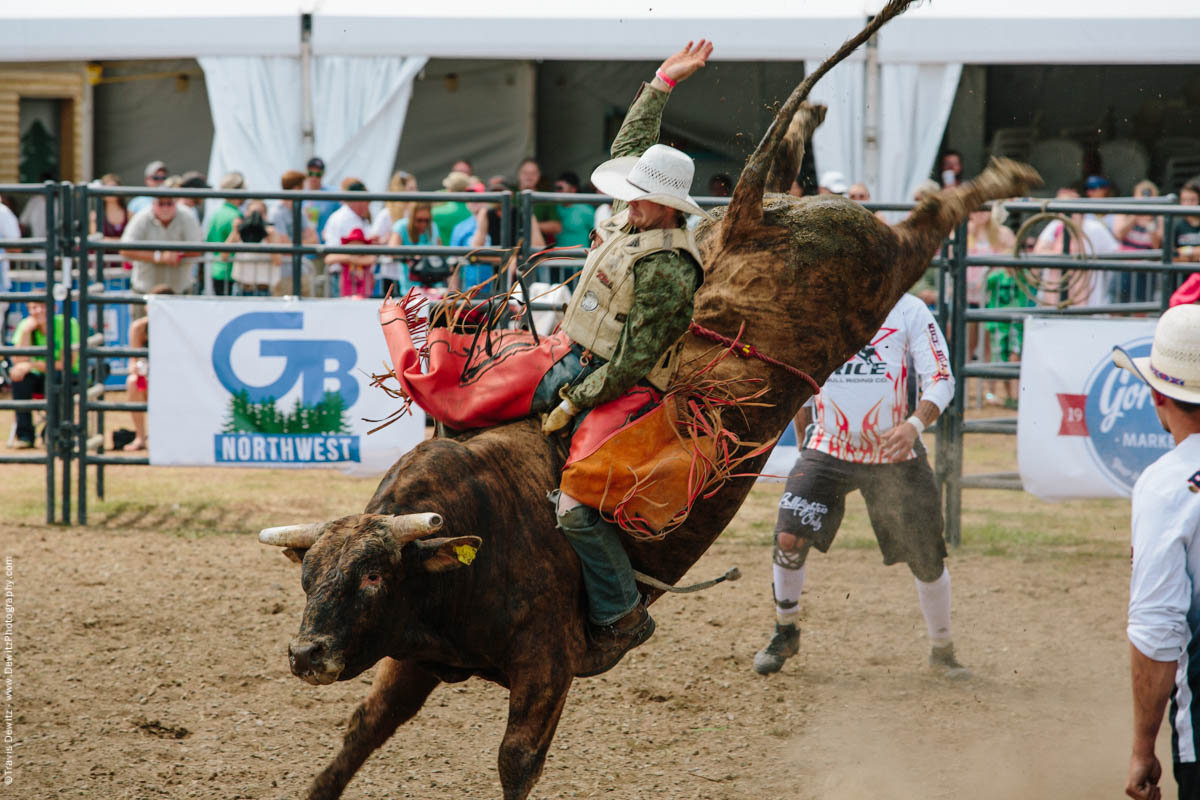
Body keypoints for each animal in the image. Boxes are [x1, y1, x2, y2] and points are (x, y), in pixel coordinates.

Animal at [258, 3, 1036, 796]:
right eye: (310, 575)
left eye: (374, 575)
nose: (306, 653)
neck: (480, 532)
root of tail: (751, 222)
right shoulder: (415, 659)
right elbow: (358, 735)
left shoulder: (546, 666)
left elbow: (516, 760)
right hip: (778, 227)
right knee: (787, 169)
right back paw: (813, 117)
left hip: (883, 267)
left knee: (932, 214)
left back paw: (1004, 175)